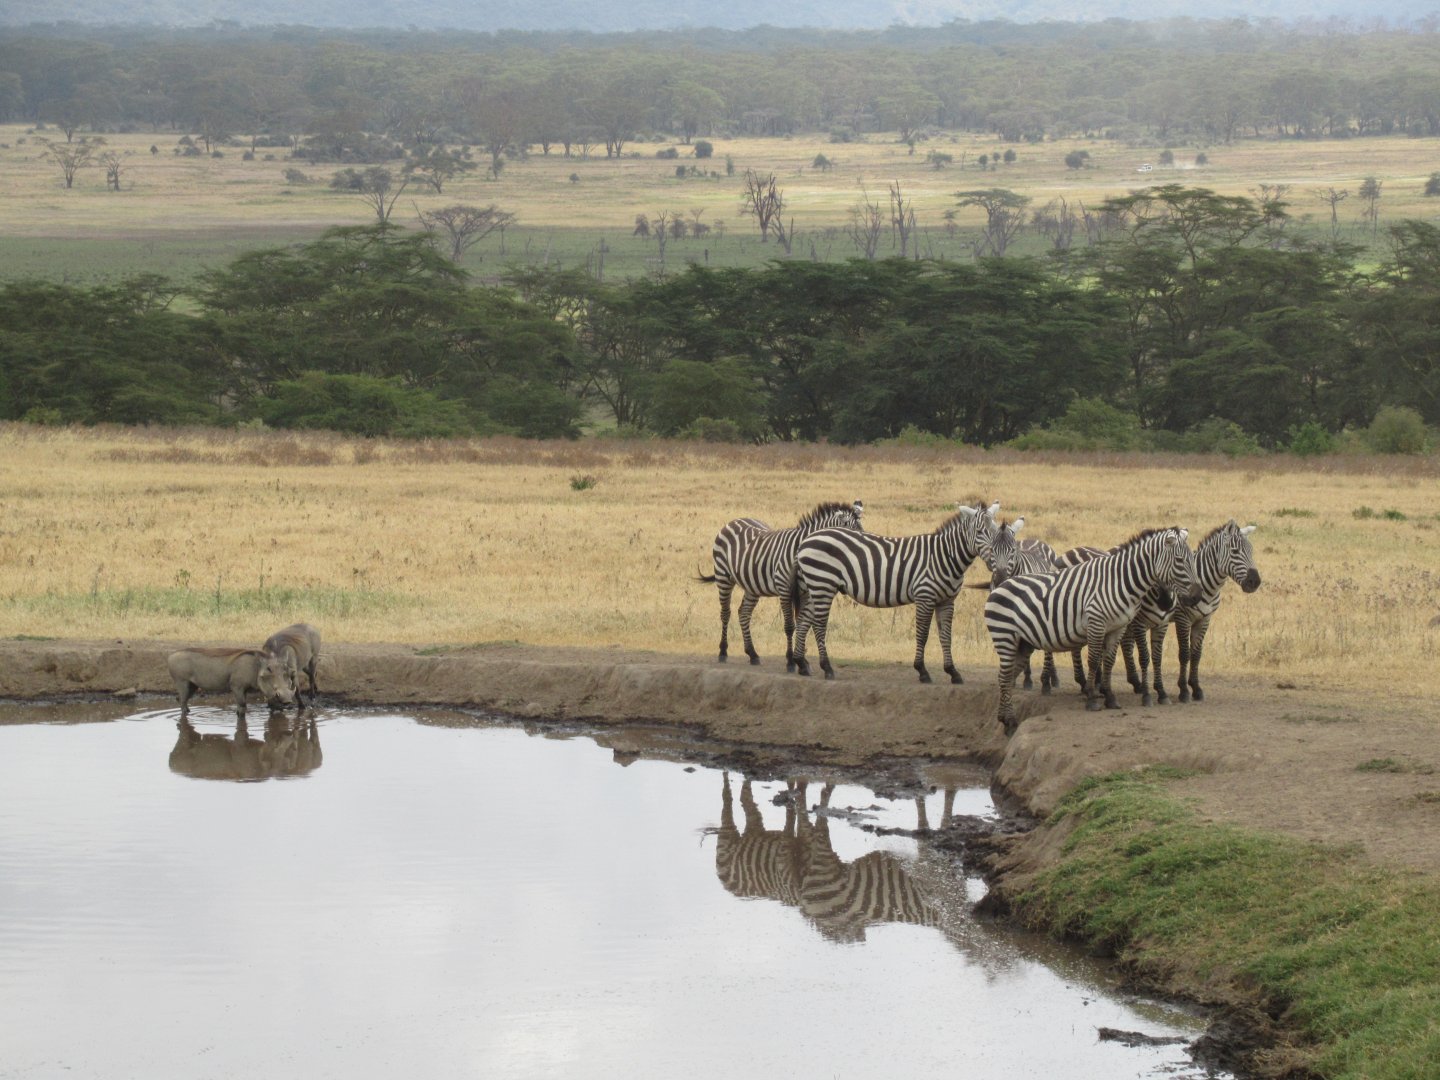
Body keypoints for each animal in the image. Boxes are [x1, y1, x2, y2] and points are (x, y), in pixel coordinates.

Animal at [699, 500, 864, 671]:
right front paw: (791, 661)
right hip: (723, 577)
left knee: (743, 613)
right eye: (853, 536)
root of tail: (735, 521)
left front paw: (802, 659)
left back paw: (752, 653)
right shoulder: (785, 590)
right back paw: (723, 652)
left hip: (752, 586)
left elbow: (803, 623)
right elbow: (790, 626)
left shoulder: (806, 592)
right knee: (725, 613)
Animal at [789, 501, 1002, 684]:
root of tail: (806, 540)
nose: (995, 563)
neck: (944, 557)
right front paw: (922, 671)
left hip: (815, 586)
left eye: (997, 531)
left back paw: (802, 664)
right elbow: (923, 634)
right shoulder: (925, 597)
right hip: (823, 583)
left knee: (804, 620)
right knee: (818, 625)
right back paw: (827, 668)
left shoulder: (947, 601)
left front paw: (953, 672)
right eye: (979, 532)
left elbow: (946, 636)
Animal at [984, 527, 1198, 734]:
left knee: (1007, 677)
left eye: (1192, 558)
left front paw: (1110, 698)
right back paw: (1009, 719)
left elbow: (1109, 661)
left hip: (1023, 643)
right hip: (1005, 637)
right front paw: (1092, 699)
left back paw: (1007, 721)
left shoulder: (1117, 627)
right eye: (1180, 560)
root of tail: (999, 586)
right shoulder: (1097, 622)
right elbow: (1094, 660)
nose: (1196, 597)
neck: (1120, 581)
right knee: (1004, 677)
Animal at [1170, 520, 1262, 703]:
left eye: (1252, 551)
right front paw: (1183, 690)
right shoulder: (1182, 618)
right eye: (1235, 551)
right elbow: (1184, 653)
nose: (1255, 581)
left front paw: (1196, 688)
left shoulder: (1204, 619)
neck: (1206, 585)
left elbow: (1196, 654)